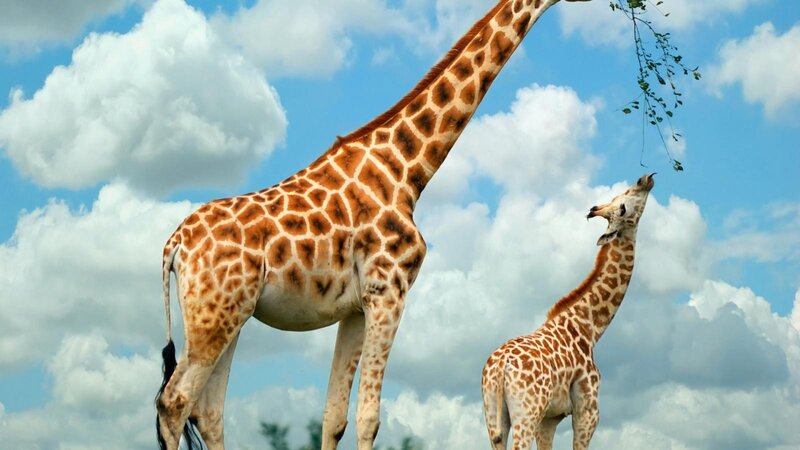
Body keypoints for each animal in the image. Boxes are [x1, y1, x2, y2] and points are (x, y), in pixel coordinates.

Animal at [154, 1, 592, 449]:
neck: (407, 170)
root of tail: (175, 244)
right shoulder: (389, 291)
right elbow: (368, 417)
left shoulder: (355, 308)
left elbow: (334, 417)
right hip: (213, 316)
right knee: (174, 401)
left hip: (230, 315)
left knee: (208, 411)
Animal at [481, 173, 655, 450]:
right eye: (623, 206)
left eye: (619, 198)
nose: (645, 179)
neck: (590, 327)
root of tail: (499, 367)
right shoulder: (588, 411)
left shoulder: (549, 418)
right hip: (526, 412)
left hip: (494, 416)